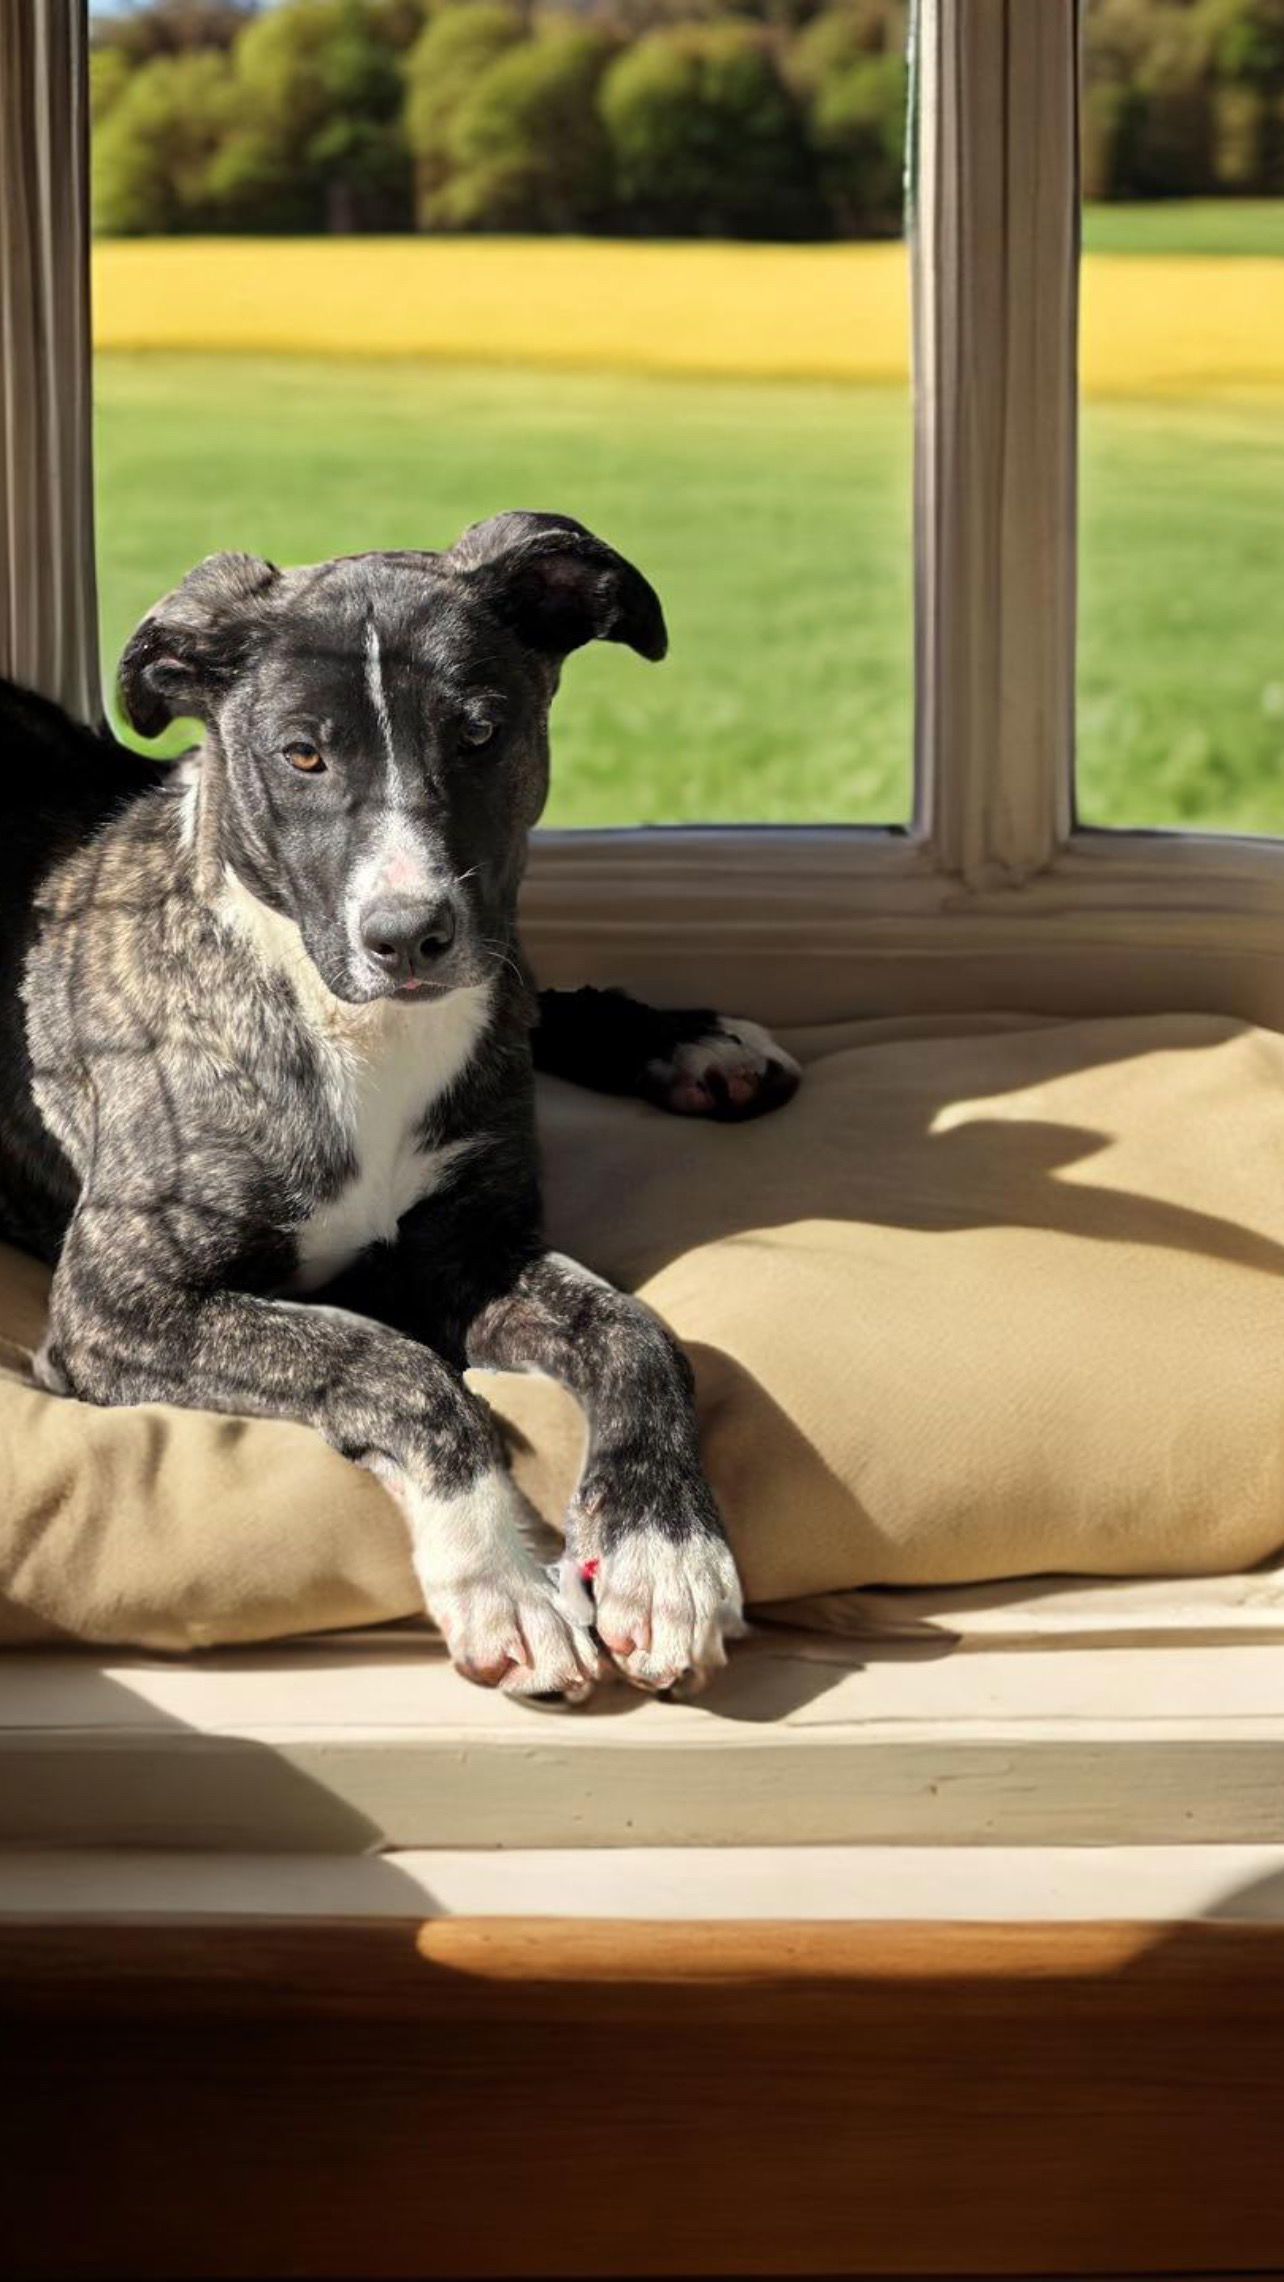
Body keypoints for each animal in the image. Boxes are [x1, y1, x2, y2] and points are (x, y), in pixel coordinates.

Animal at [0, 513, 798, 1697]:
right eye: (302, 754)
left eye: (479, 732)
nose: (408, 937)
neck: (348, 1024)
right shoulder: (116, 1306)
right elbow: (391, 1362)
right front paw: (501, 1575)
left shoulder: (477, 1245)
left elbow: (638, 1329)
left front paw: (665, 1551)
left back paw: (692, 1045)